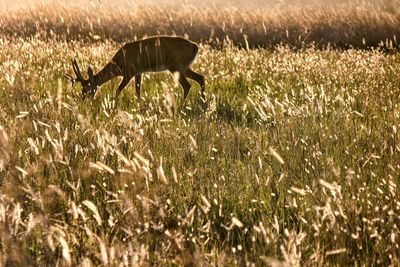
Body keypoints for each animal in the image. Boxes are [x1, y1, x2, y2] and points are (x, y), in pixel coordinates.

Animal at [65, 35, 205, 102]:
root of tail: (195, 46)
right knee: (201, 78)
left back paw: (182, 105)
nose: (83, 99)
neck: (118, 64)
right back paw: (203, 102)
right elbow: (138, 92)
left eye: (87, 88)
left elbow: (118, 90)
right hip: (185, 67)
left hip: (176, 66)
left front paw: (115, 105)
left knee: (187, 85)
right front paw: (139, 105)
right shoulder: (139, 72)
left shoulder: (129, 72)